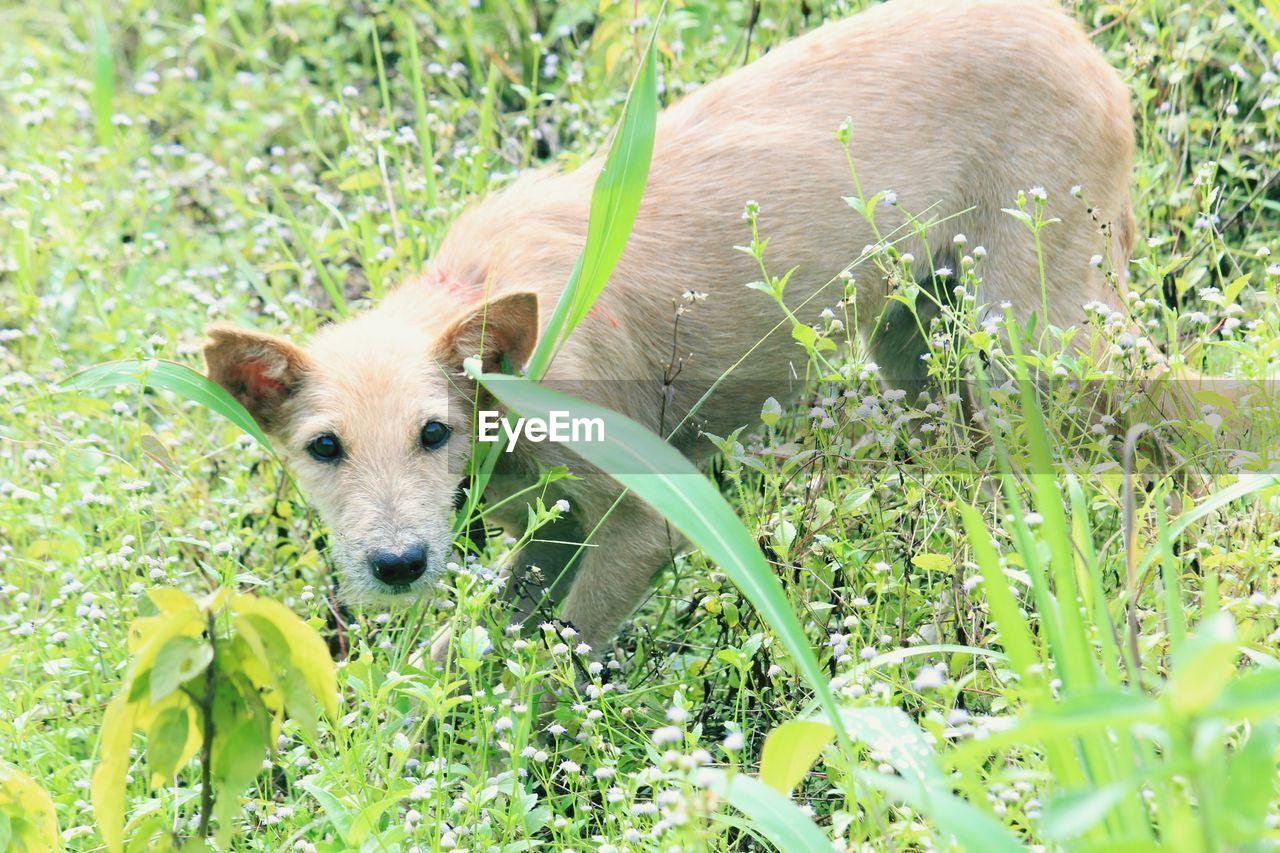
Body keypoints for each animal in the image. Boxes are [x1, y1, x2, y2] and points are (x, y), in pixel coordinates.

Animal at [204, 0, 1136, 648]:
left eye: (433, 432)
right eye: (325, 448)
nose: (397, 564)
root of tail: (1078, 40)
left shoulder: (643, 522)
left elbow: (559, 658)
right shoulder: (553, 527)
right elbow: (489, 641)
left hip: (1041, 332)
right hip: (914, 339)